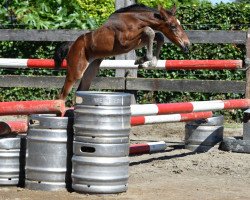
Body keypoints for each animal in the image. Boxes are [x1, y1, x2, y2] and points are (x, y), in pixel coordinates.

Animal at [58, 3, 190, 100]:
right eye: (173, 26)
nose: (187, 45)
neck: (135, 20)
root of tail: (72, 45)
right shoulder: (125, 44)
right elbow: (149, 31)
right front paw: (141, 60)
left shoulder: (138, 42)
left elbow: (157, 35)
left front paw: (150, 63)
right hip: (76, 72)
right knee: (62, 94)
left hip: (90, 71)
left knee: (80, 90)